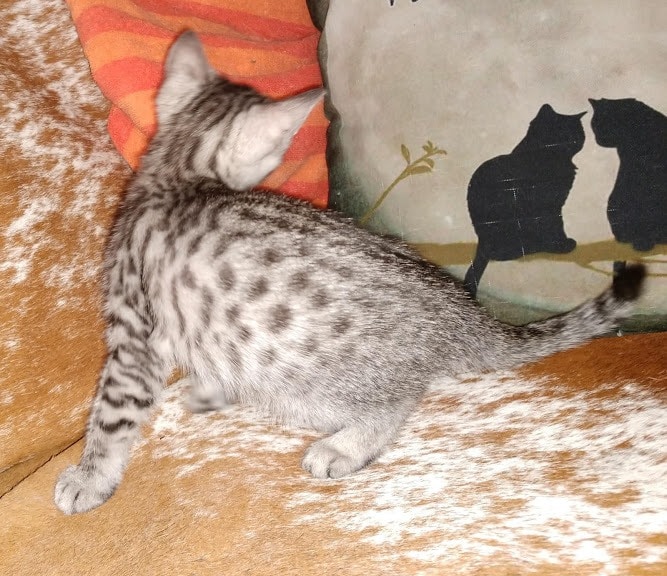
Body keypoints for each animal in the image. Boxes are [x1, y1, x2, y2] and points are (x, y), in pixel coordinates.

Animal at [464, 104, 585, 297]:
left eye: (577, 134)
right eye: (567, 133)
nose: (573, 141)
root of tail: (483, 243)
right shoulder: (550, 206)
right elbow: (556, 225)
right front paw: (563, 244)